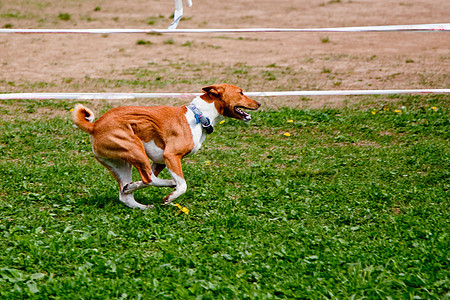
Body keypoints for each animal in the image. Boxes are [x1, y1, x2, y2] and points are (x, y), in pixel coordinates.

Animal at [71, 83, 258, 210]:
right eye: (241, 92)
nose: (259, 104)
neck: (199, 116)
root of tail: (95, 126)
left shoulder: (160, 161)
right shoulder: (171, 156)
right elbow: (182, 185)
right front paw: (169, 197)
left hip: (121, 163)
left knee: (127, 193)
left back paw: (141, 202)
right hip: (135, 149)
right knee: (149, 179)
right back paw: (167, 184)